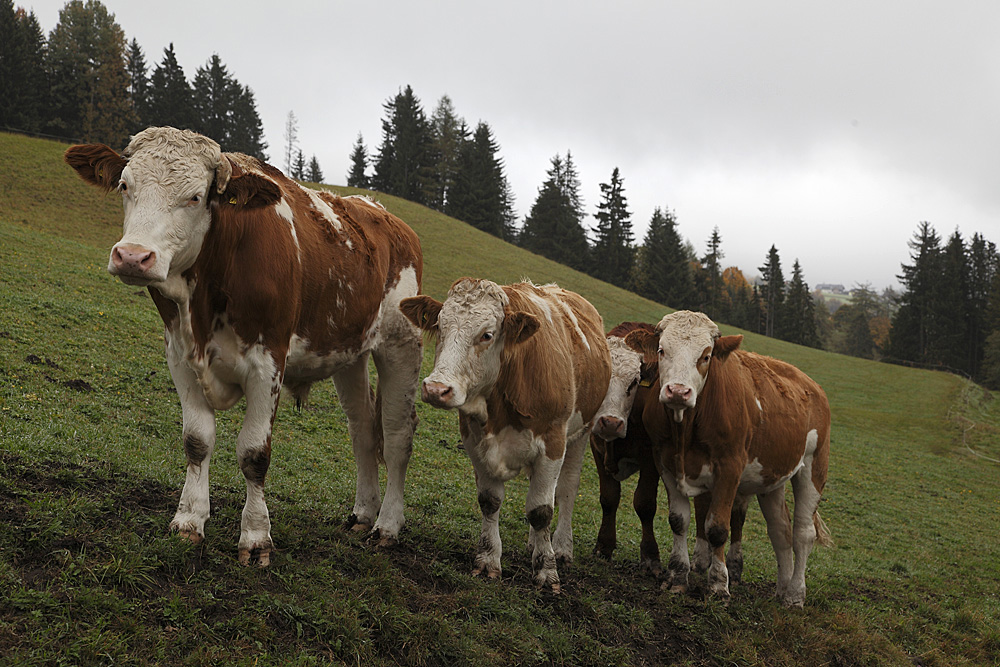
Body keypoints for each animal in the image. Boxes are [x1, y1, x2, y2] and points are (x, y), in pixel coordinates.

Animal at [62, 128, 422, 568]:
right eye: (125, 185)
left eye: (195, 197)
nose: (132, 256)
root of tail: (382, 213)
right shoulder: (179, 355)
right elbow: (197, 440)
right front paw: (189, 521)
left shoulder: (268, 362)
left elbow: (254, 454)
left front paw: (255, 537)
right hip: (348, 352)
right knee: (362, 429)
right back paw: (362, 514)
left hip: (401, 344)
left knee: (397, 433)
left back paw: (387, 526)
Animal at [398, 280, 608, 592]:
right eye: (439, 326)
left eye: (487, 334)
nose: (436, 389)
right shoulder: (474, 439)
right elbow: (490, 500)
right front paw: (488, 559)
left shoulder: (553, 443)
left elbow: (542, 510)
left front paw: (547, 571)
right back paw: (535, 545)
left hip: (581, 433)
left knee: (566, 490)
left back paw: (560, 548)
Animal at [628, 310, 832, 608]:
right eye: (662, 350)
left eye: (706, 356)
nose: (678, 391)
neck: (686, 428)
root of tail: (811, 385)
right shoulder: (664, 461)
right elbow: (678, 520)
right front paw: (678, 577)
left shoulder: (730, 467)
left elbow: (717, 528)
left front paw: (718, 585)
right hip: (772, 476)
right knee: (780, 530)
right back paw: (782, 590)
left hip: (814, 468)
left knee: (803, 533)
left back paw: (795, 595)